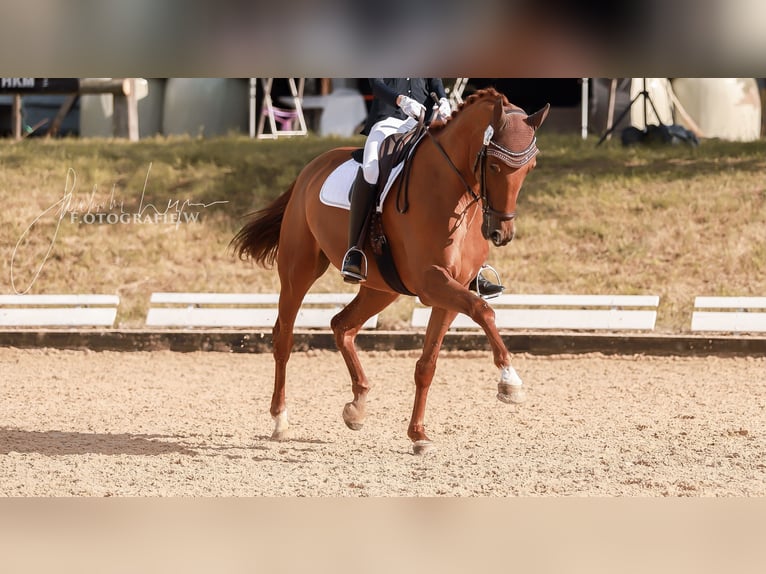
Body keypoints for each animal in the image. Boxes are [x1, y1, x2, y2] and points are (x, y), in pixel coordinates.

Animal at [232, 87, 549, 454]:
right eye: (495, 165)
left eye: (530, 167)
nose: (501, 233)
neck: (450, 193)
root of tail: (310, 170)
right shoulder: (432, 282)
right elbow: (483, 310)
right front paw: (510, 382)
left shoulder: (450, 289)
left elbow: (427, 364)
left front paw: (418, 435)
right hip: (299, 270)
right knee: (284, 337)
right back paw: (280, 419)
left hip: (381, 288)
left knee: (342, 326)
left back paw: (357, 407)